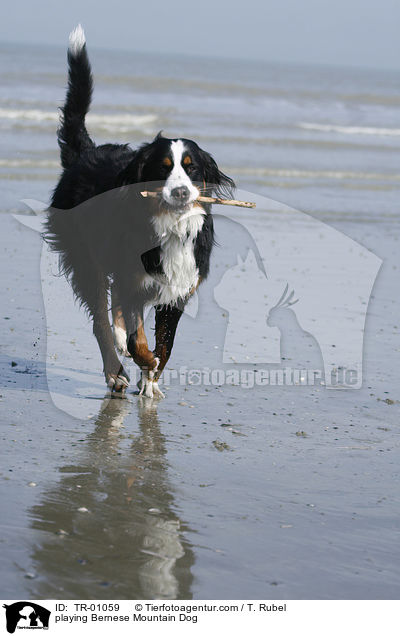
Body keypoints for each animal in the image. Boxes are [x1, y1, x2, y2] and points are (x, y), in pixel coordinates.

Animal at [45, 27, 236, 400]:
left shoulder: (178, 289)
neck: (169, 228)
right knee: (101, 320)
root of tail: (85, 155)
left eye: (191, 168)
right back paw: (115, 369)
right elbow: (139, 341)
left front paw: (151, 380)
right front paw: (143, 363)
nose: (180, 192)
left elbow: (165, 344)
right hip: (87, 260)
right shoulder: (134, 277)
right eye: (162, 168)